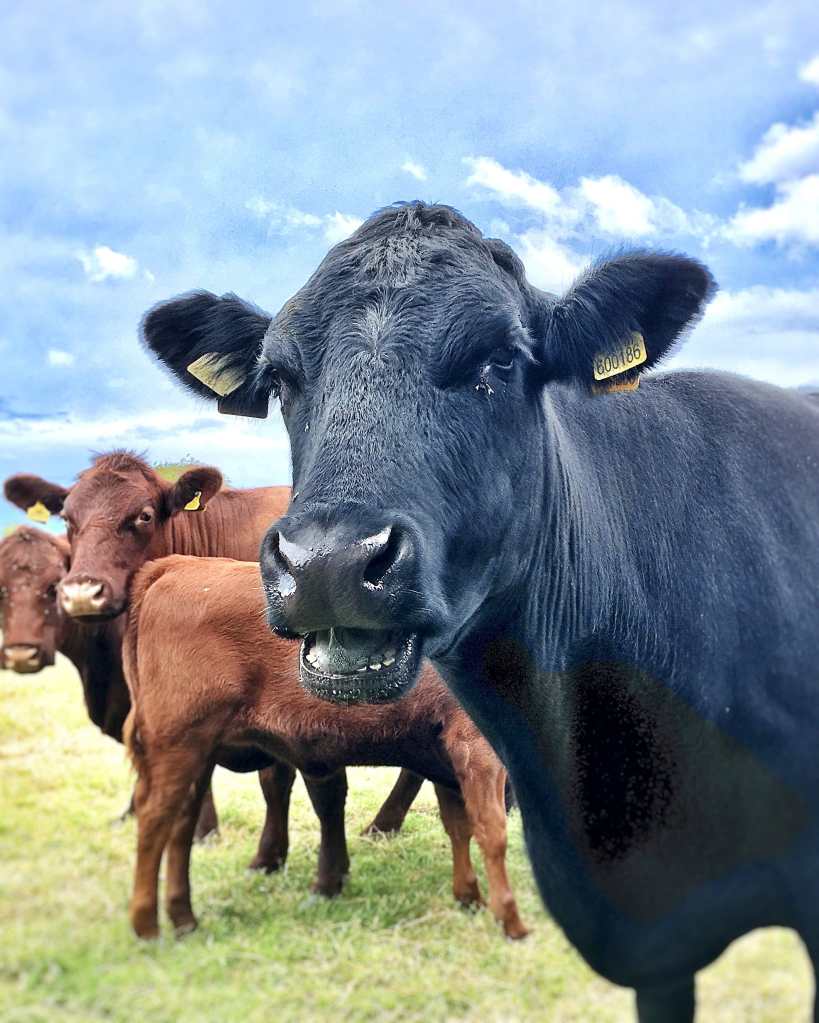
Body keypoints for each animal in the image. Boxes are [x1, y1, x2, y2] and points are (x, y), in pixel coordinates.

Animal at [4, 455, 423, 854]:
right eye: (67, 518)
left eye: (144, 515)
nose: (81, 593)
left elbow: (273, 777)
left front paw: (257, 850)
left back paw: (382, 824)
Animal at [123, 554, 527, 942]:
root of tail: (179, 565)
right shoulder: (475, 747)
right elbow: (492, 831)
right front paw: (510, 920)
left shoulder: (445, 755)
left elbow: (458, 827)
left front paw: (470, 898)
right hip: (178, 742)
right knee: (155, 821)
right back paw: (147, 925)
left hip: (198, 751)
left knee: (181, 826)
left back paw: (183, 919)